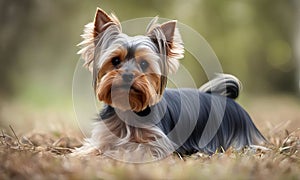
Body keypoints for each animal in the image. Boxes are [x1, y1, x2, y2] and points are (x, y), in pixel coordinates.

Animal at [74, 7, 266, 161]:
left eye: (143, 64)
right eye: (115, 60)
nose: (128, 75)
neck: (129, 109)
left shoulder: (157, 144)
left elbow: (135, 149)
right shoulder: (105, 137)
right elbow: (95, 147)